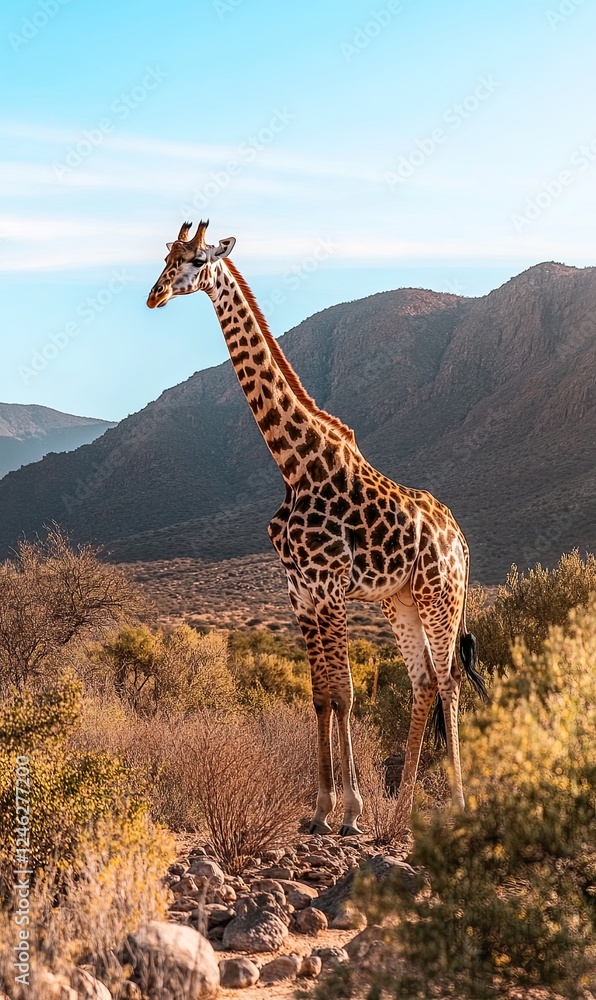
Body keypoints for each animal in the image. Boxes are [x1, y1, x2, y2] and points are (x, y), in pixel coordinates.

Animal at [147, 220, 487, 836]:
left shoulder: (329, 589)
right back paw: (401, 810)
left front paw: (349, 811)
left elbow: (346, 693)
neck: (294, 463)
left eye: (197, 259)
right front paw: (322, 808)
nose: (154, 296)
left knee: (449, 681)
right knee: (425, 681)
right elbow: (320, 695)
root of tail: (463, 544)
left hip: (439, 595)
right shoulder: (300, 592)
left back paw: (453, 805)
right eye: (166, 257)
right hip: (398, 600)